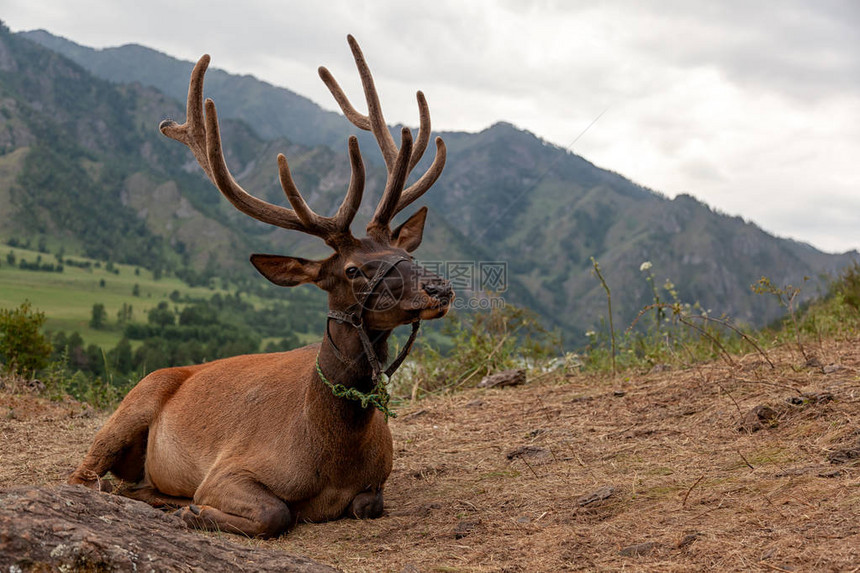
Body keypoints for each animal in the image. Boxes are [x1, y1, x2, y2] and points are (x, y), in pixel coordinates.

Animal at [67, 35, 454, 536]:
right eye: (353, 270)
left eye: (407, 255)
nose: (440, 288)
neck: (332, 458)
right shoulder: (226, 470)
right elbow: (275, 512)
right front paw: (197, 511)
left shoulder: (376, 482)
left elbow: (367, 504)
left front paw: (187, 510)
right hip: (132, 402)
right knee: (82, 477)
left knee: (130, 484)